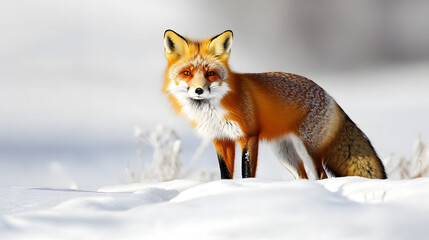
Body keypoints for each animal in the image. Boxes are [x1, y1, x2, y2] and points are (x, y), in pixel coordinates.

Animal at [162, 30, 386, 179]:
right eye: (187, 73)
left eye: (210, 73)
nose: (199, 90)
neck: (213, 110)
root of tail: (328, 95)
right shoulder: (221, 139)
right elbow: (226, 175)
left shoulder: (248, 135)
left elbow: (247, 173)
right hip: (284, 153)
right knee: (303, 176)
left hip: (307, 149)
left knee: (321, 175)